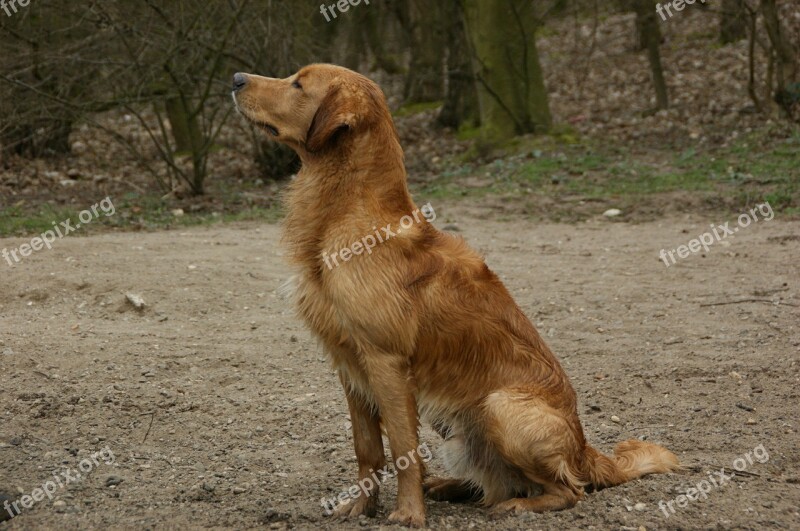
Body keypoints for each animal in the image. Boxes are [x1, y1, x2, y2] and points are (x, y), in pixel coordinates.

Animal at [230, 64, 676, 524]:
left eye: (298, 84)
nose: (236, 78)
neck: (351, 218)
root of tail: (586, 449)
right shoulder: (349, 365)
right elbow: (366, 447)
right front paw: (362, 506)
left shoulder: (385, 362)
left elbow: (403, 448)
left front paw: (408, 513)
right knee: (496, 482)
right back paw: (448, 486)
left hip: (500, 406)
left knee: (567, 490)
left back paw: (516, 504)